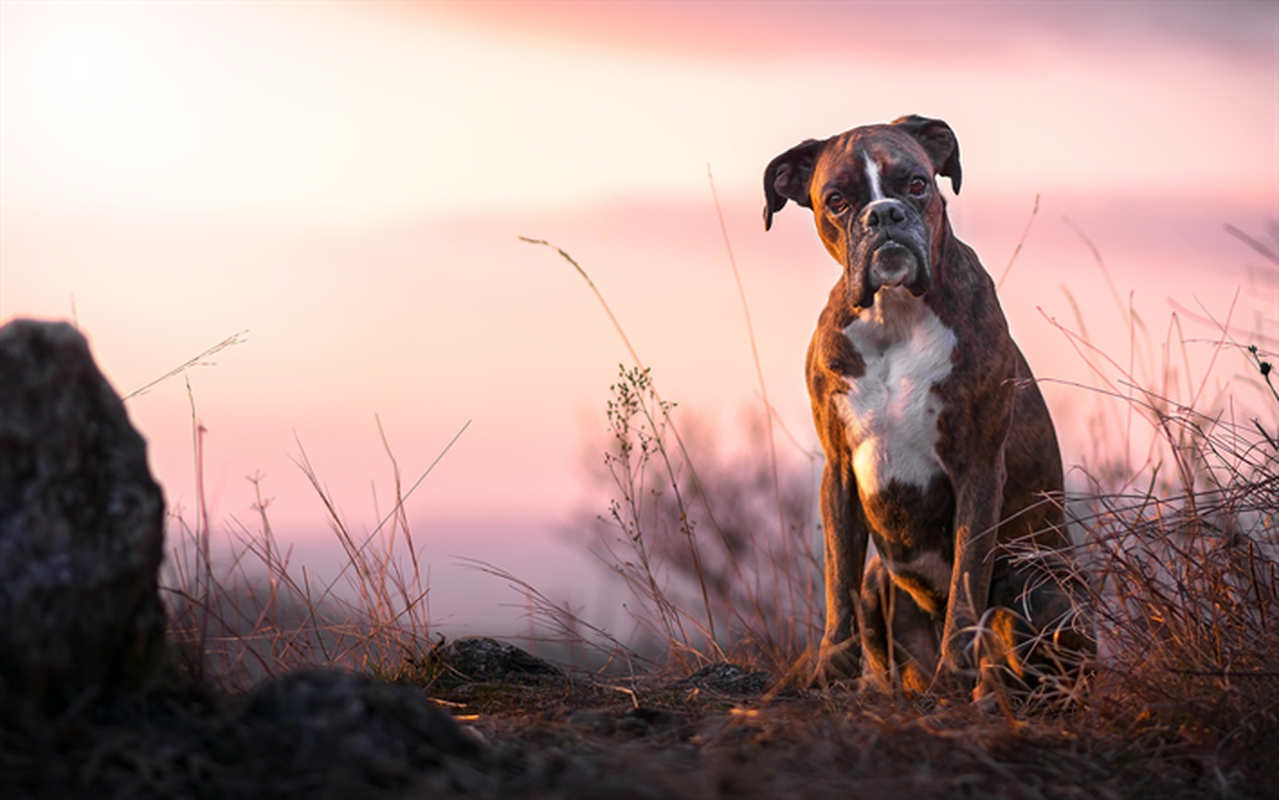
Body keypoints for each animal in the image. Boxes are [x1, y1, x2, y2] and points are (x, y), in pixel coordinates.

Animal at [762, 113, 1094, 696]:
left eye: (916, 183)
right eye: (836, 200)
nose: (883, 215)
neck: (894, 315)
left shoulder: (978, 470)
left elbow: (966, 580)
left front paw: (955, 672)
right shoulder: (839, 471)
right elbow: (838, 579)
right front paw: (830, 671)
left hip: (1037, 584)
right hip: (883, 580)